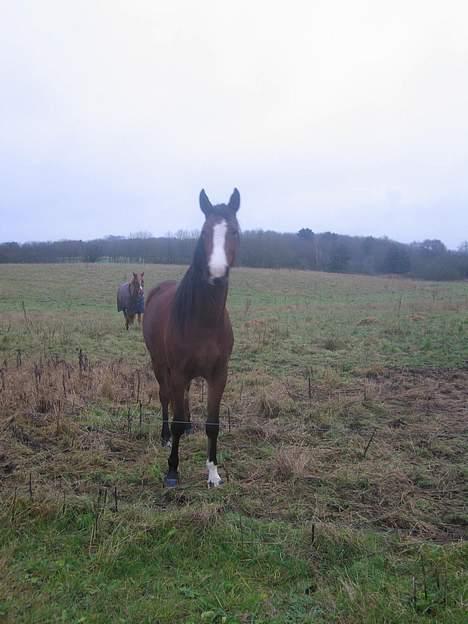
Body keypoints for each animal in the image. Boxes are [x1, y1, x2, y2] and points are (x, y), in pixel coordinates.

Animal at [144, 188, 241, 490]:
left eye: (234, 231)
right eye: (204, 232)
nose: (217, 274)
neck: (204, 321)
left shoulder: (219, 374)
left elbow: (213, 423)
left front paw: (213, 473)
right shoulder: (177, 371)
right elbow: (174, 415)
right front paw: (172, 471)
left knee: (182, 398)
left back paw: (187, 428)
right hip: (159, 364)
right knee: (165, 398)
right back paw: (166, 436)